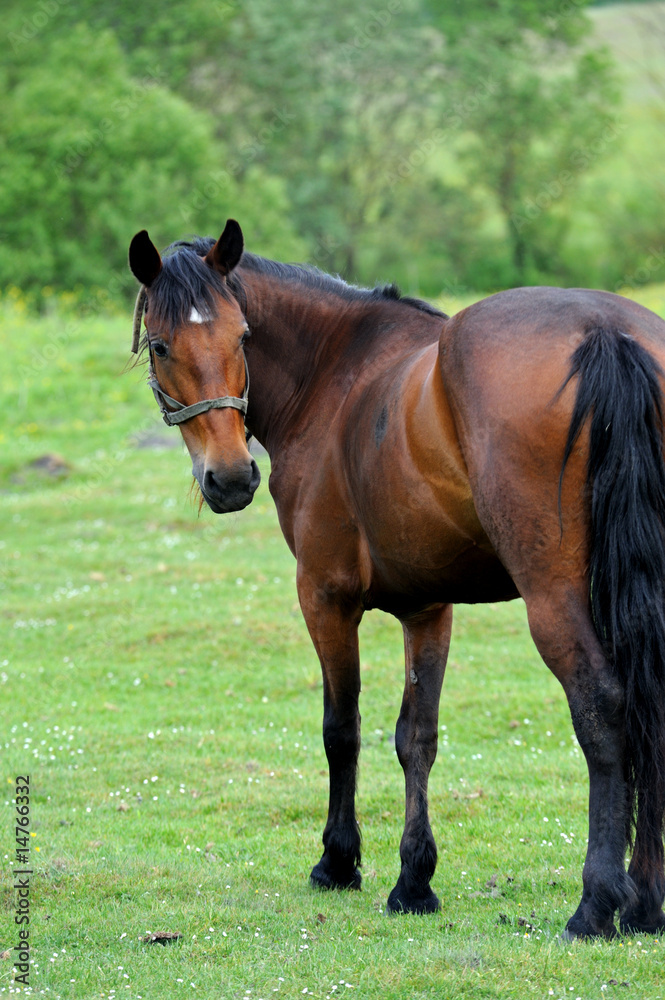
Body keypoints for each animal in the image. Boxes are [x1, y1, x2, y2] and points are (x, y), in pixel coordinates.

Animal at [128, 219, 665, 939]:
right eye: (162, 346)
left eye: (241, 336)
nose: (232, 478)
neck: (333, 374)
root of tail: (605, 330)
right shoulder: (427, 606)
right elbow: (417, 738)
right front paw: (414, 879)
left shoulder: (325, 596)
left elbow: (341, 728)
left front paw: (338, 861)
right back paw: (645, 902)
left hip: (553, 597)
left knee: (603, 708)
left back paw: (597, 902)